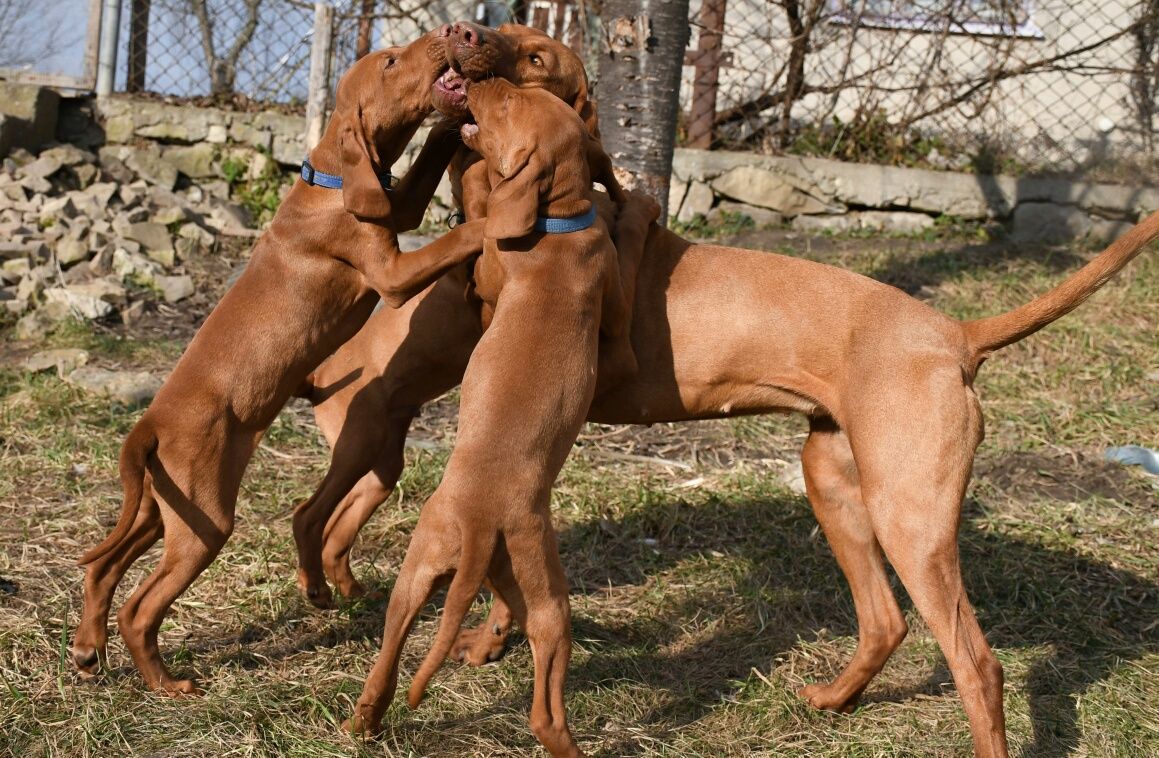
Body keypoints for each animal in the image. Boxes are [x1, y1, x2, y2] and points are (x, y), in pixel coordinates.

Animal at [67, 28, 486, 695]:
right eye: (391, 60)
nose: (454, 32)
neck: (331, 183)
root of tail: (148, 424)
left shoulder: (394, 209)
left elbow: (420, 175)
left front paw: (452, 125)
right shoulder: (392, 274)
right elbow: (454, 238)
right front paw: (499, 218)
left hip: (164, 510)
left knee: (103, 566)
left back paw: (88, 649)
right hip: (206, 522)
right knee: (141, 605)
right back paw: (168, 684)